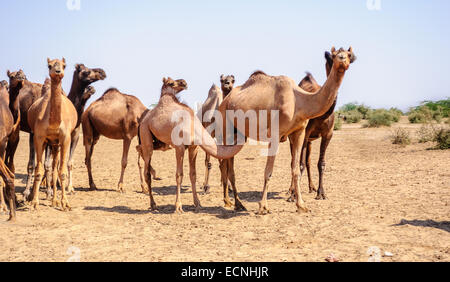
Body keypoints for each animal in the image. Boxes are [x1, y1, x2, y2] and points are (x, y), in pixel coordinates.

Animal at [27, 58, 77, 210]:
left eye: (64, 65)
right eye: (49, 65)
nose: (58, 71)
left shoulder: (65, 138)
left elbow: (62, 172)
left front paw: (65, 203)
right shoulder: (39, 137)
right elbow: (38, 171)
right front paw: (34, 202)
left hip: (56, 145)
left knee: (55, 169)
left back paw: (55, 200)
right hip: (48, 143)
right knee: (45, 167)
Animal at [138, 77, 244, 214]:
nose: (183, 82)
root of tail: (144, 119)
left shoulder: (194, 147)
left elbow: (193, 174)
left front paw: (197, 203)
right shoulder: (179, 147)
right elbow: (179, 175)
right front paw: (178, 206)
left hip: (161, 143)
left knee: (139, 149)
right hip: (145, 133)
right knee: (146, 168)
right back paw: (153, 204)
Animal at [219, 46, 358, 214]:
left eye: (350, 55)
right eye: (334, 55)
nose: (342, 59)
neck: (301, 101)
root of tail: (225, 100)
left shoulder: (300, 132)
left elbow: (296, 168)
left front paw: (301, 205)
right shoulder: (275, 134)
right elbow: (268, 171)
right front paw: (263, 206)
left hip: (238, 133)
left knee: (229, 162)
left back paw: (237, 203)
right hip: (225, 126)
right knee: (225, 162)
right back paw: (230, 202)